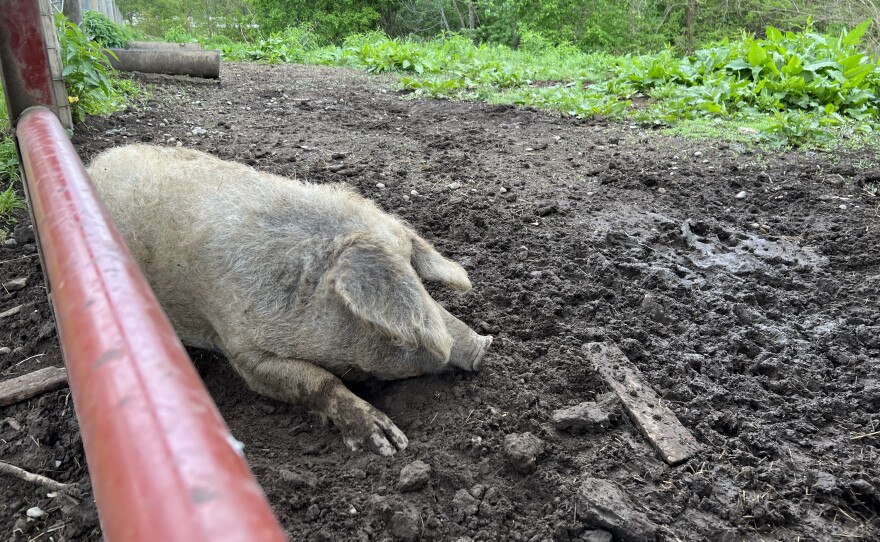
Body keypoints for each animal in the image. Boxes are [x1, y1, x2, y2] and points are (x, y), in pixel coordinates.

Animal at [87, 144, 492, 456]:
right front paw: (390, 443)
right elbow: (316, 380)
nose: (484, 345)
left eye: (419, 278)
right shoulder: (242, 350)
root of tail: (96, 162)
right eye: (394, 334)